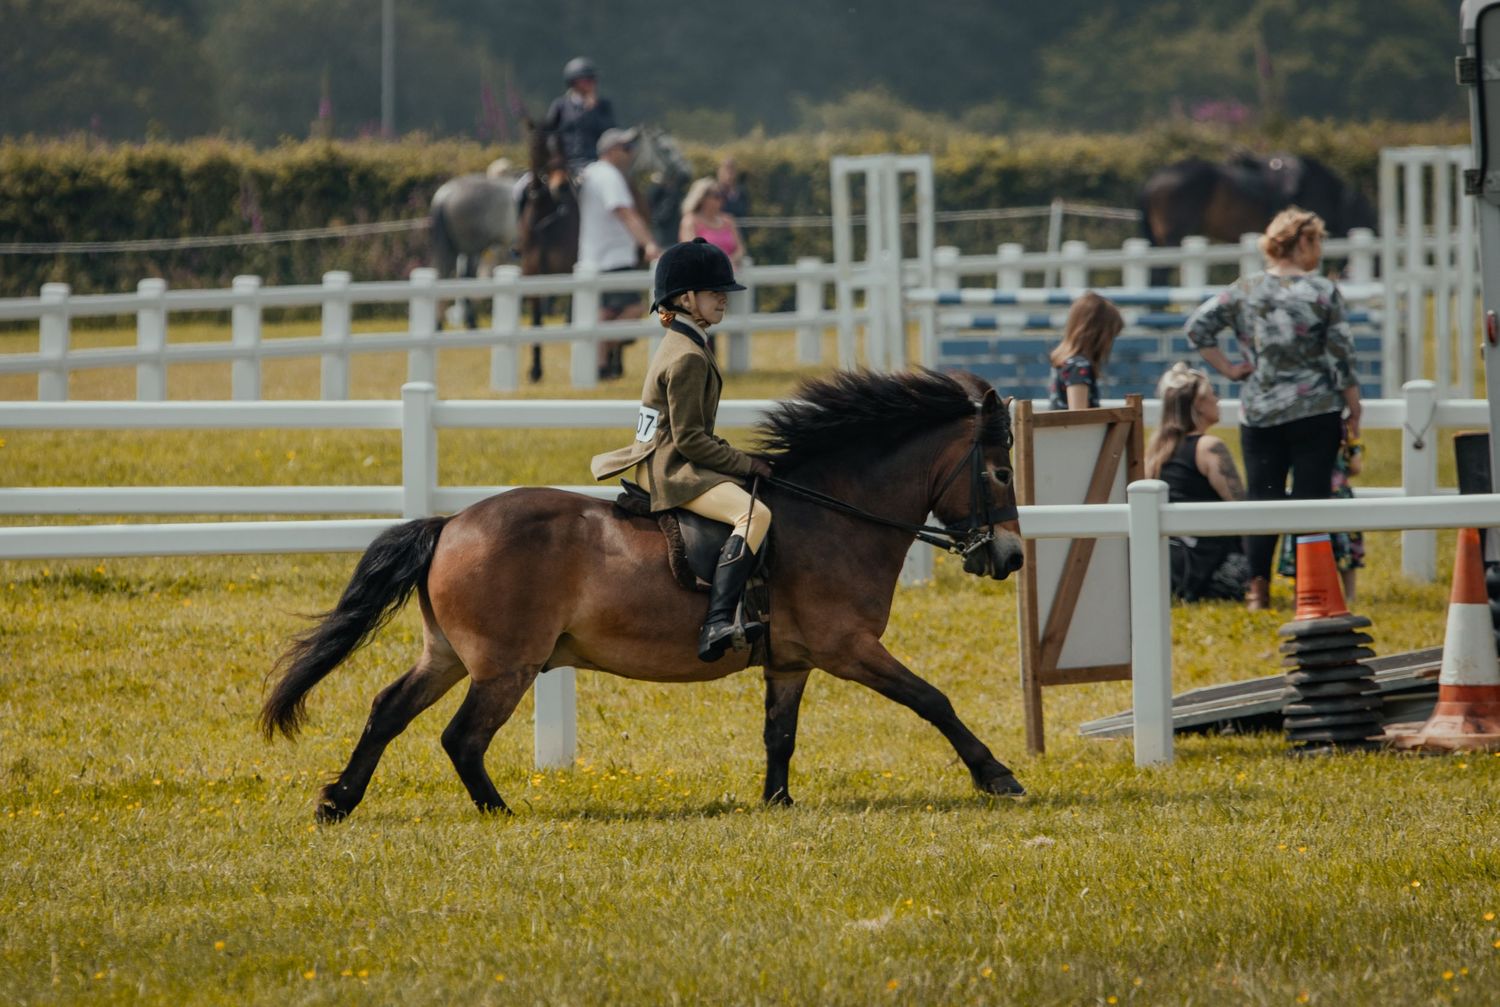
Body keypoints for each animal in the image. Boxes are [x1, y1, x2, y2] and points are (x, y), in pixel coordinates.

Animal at [260, 368, 1027, 822]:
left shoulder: (791, 661)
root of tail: (450, 523)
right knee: (462, 736)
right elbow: (932, 699)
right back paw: (498, 811)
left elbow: (779, 733)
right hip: (506, 665)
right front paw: (998, 776)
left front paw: (777, 802)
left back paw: (338, 800)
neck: (833, 515)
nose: (1012, 557)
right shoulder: (849, 647)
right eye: (998, 471)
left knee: (389, 709)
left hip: (447, 654)